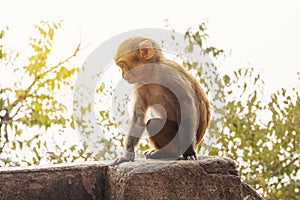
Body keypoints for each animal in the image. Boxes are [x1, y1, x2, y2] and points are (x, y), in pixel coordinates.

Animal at [109, 36, 210, 165]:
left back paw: (170, 153)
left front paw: (189, 152)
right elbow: (138, 117)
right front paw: (127, 156)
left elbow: (186, 106)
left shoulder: (168, 73)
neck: (153, 72)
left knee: (154, 123)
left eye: (122, 65)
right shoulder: (141, 85)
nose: (122, 74)